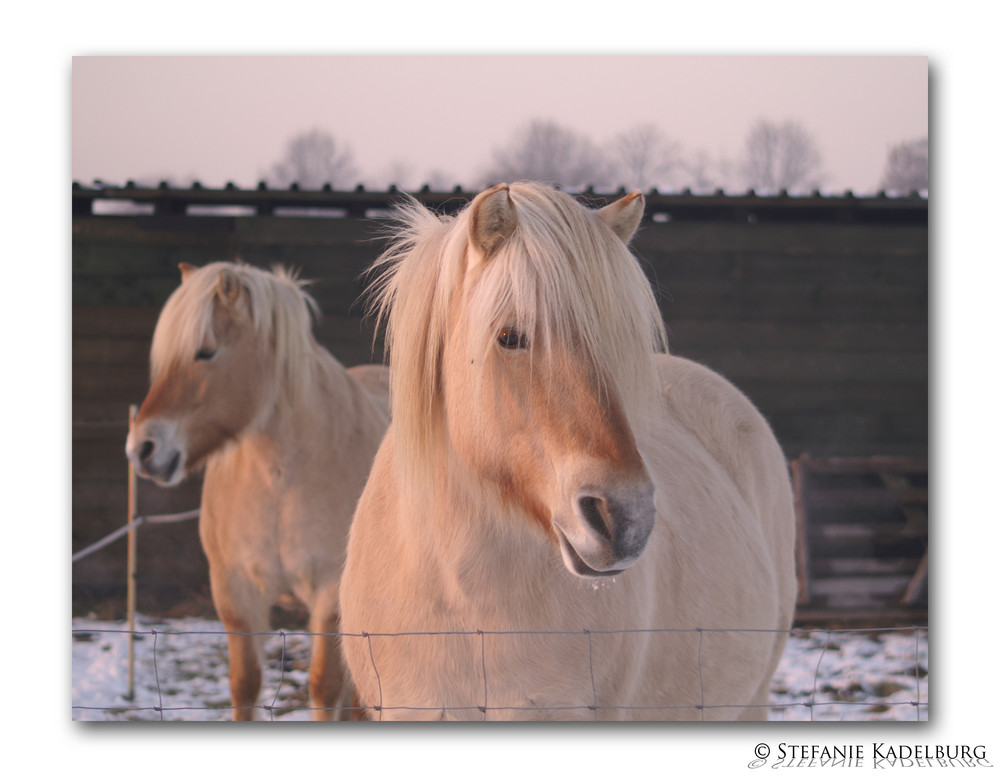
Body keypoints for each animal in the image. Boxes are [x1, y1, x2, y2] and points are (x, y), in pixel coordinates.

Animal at [125, 262, 390, 720]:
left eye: (205, 352)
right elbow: (244, 685)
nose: (142, 449)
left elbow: (324, 689)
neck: (279, 481)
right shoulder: (235, 592)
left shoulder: (328, 597)